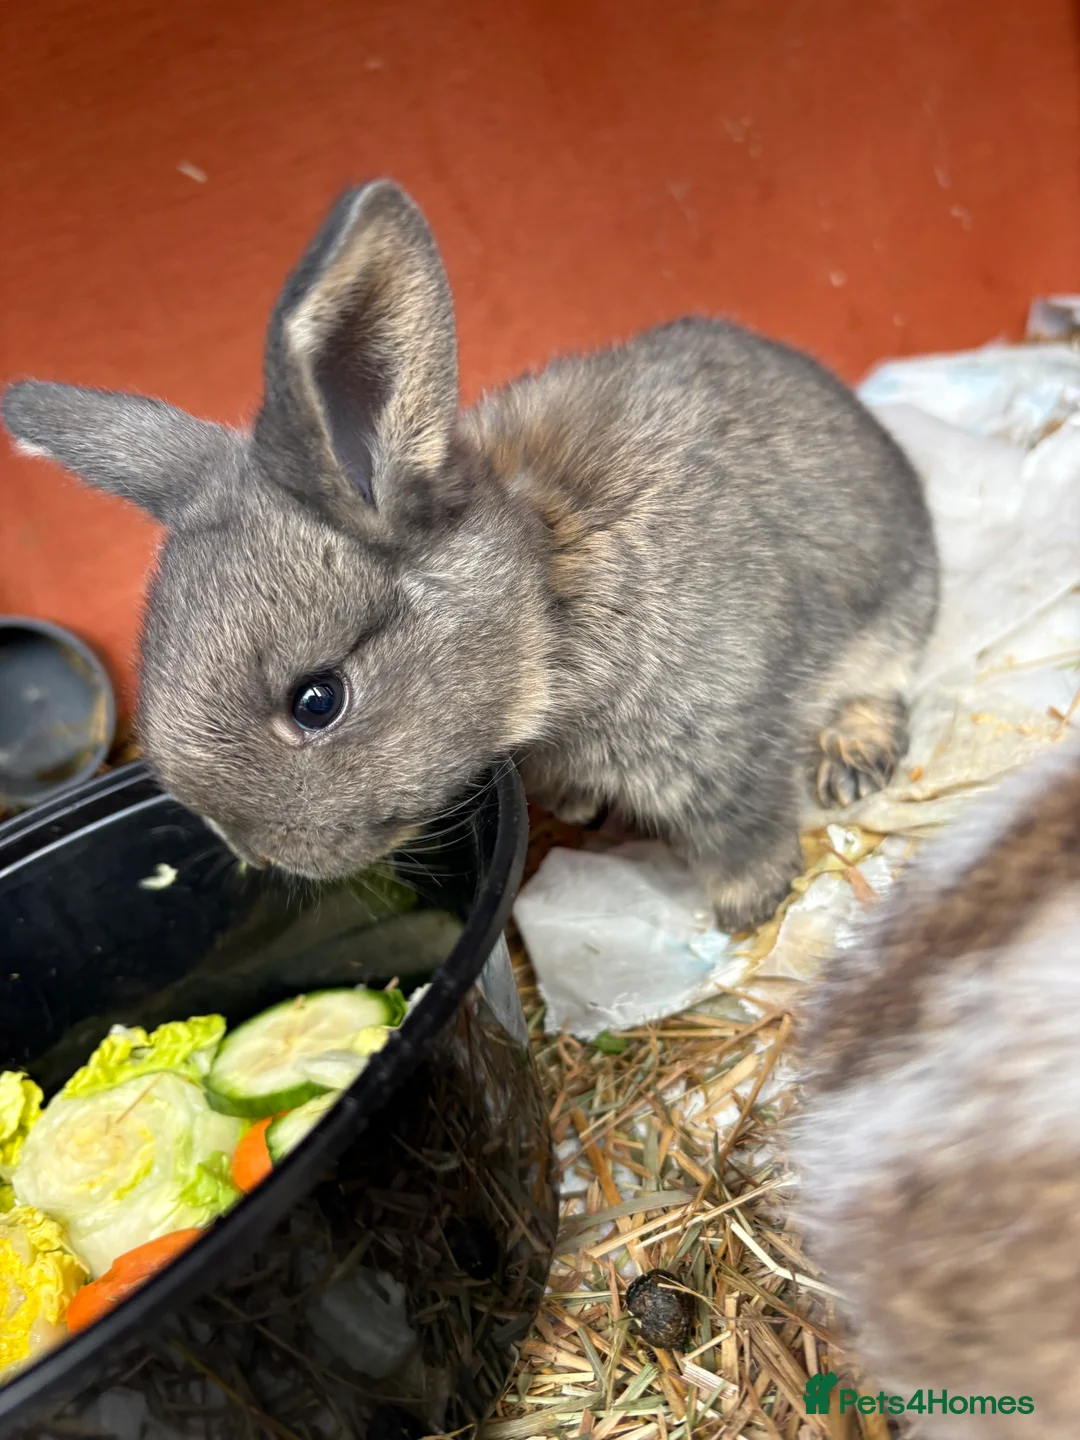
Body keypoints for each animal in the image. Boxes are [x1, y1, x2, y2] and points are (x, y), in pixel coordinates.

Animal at [1, 180, 938, 932]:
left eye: (317, 701)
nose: (258, 851)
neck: (550, 600)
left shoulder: (725, 736)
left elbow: (743, 825)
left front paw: (750, 907)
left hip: (894, 617)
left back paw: (852, 762)